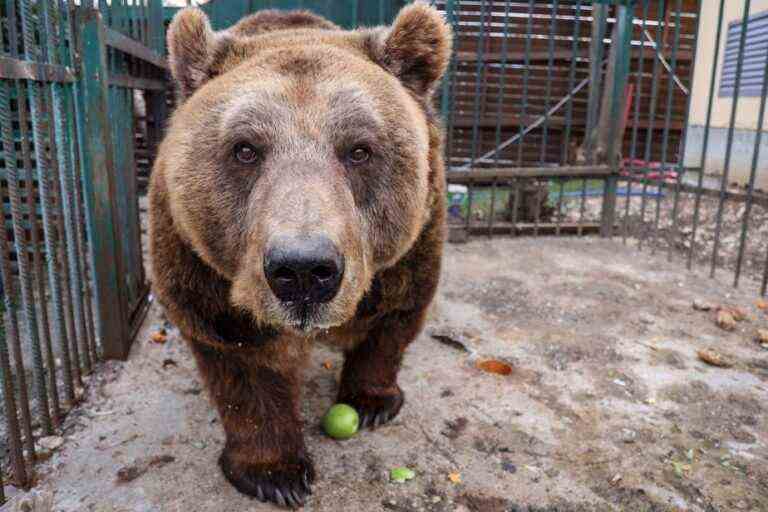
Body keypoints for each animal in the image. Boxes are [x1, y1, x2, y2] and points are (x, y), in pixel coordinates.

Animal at [148, 3, 450, 508]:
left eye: (360, 150)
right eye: (245, 149)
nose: (304, 270)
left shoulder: (412, 246)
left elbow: (395, 317)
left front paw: (372, 401)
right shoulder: (202, 269)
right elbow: (241, 359)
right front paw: (275, 472)